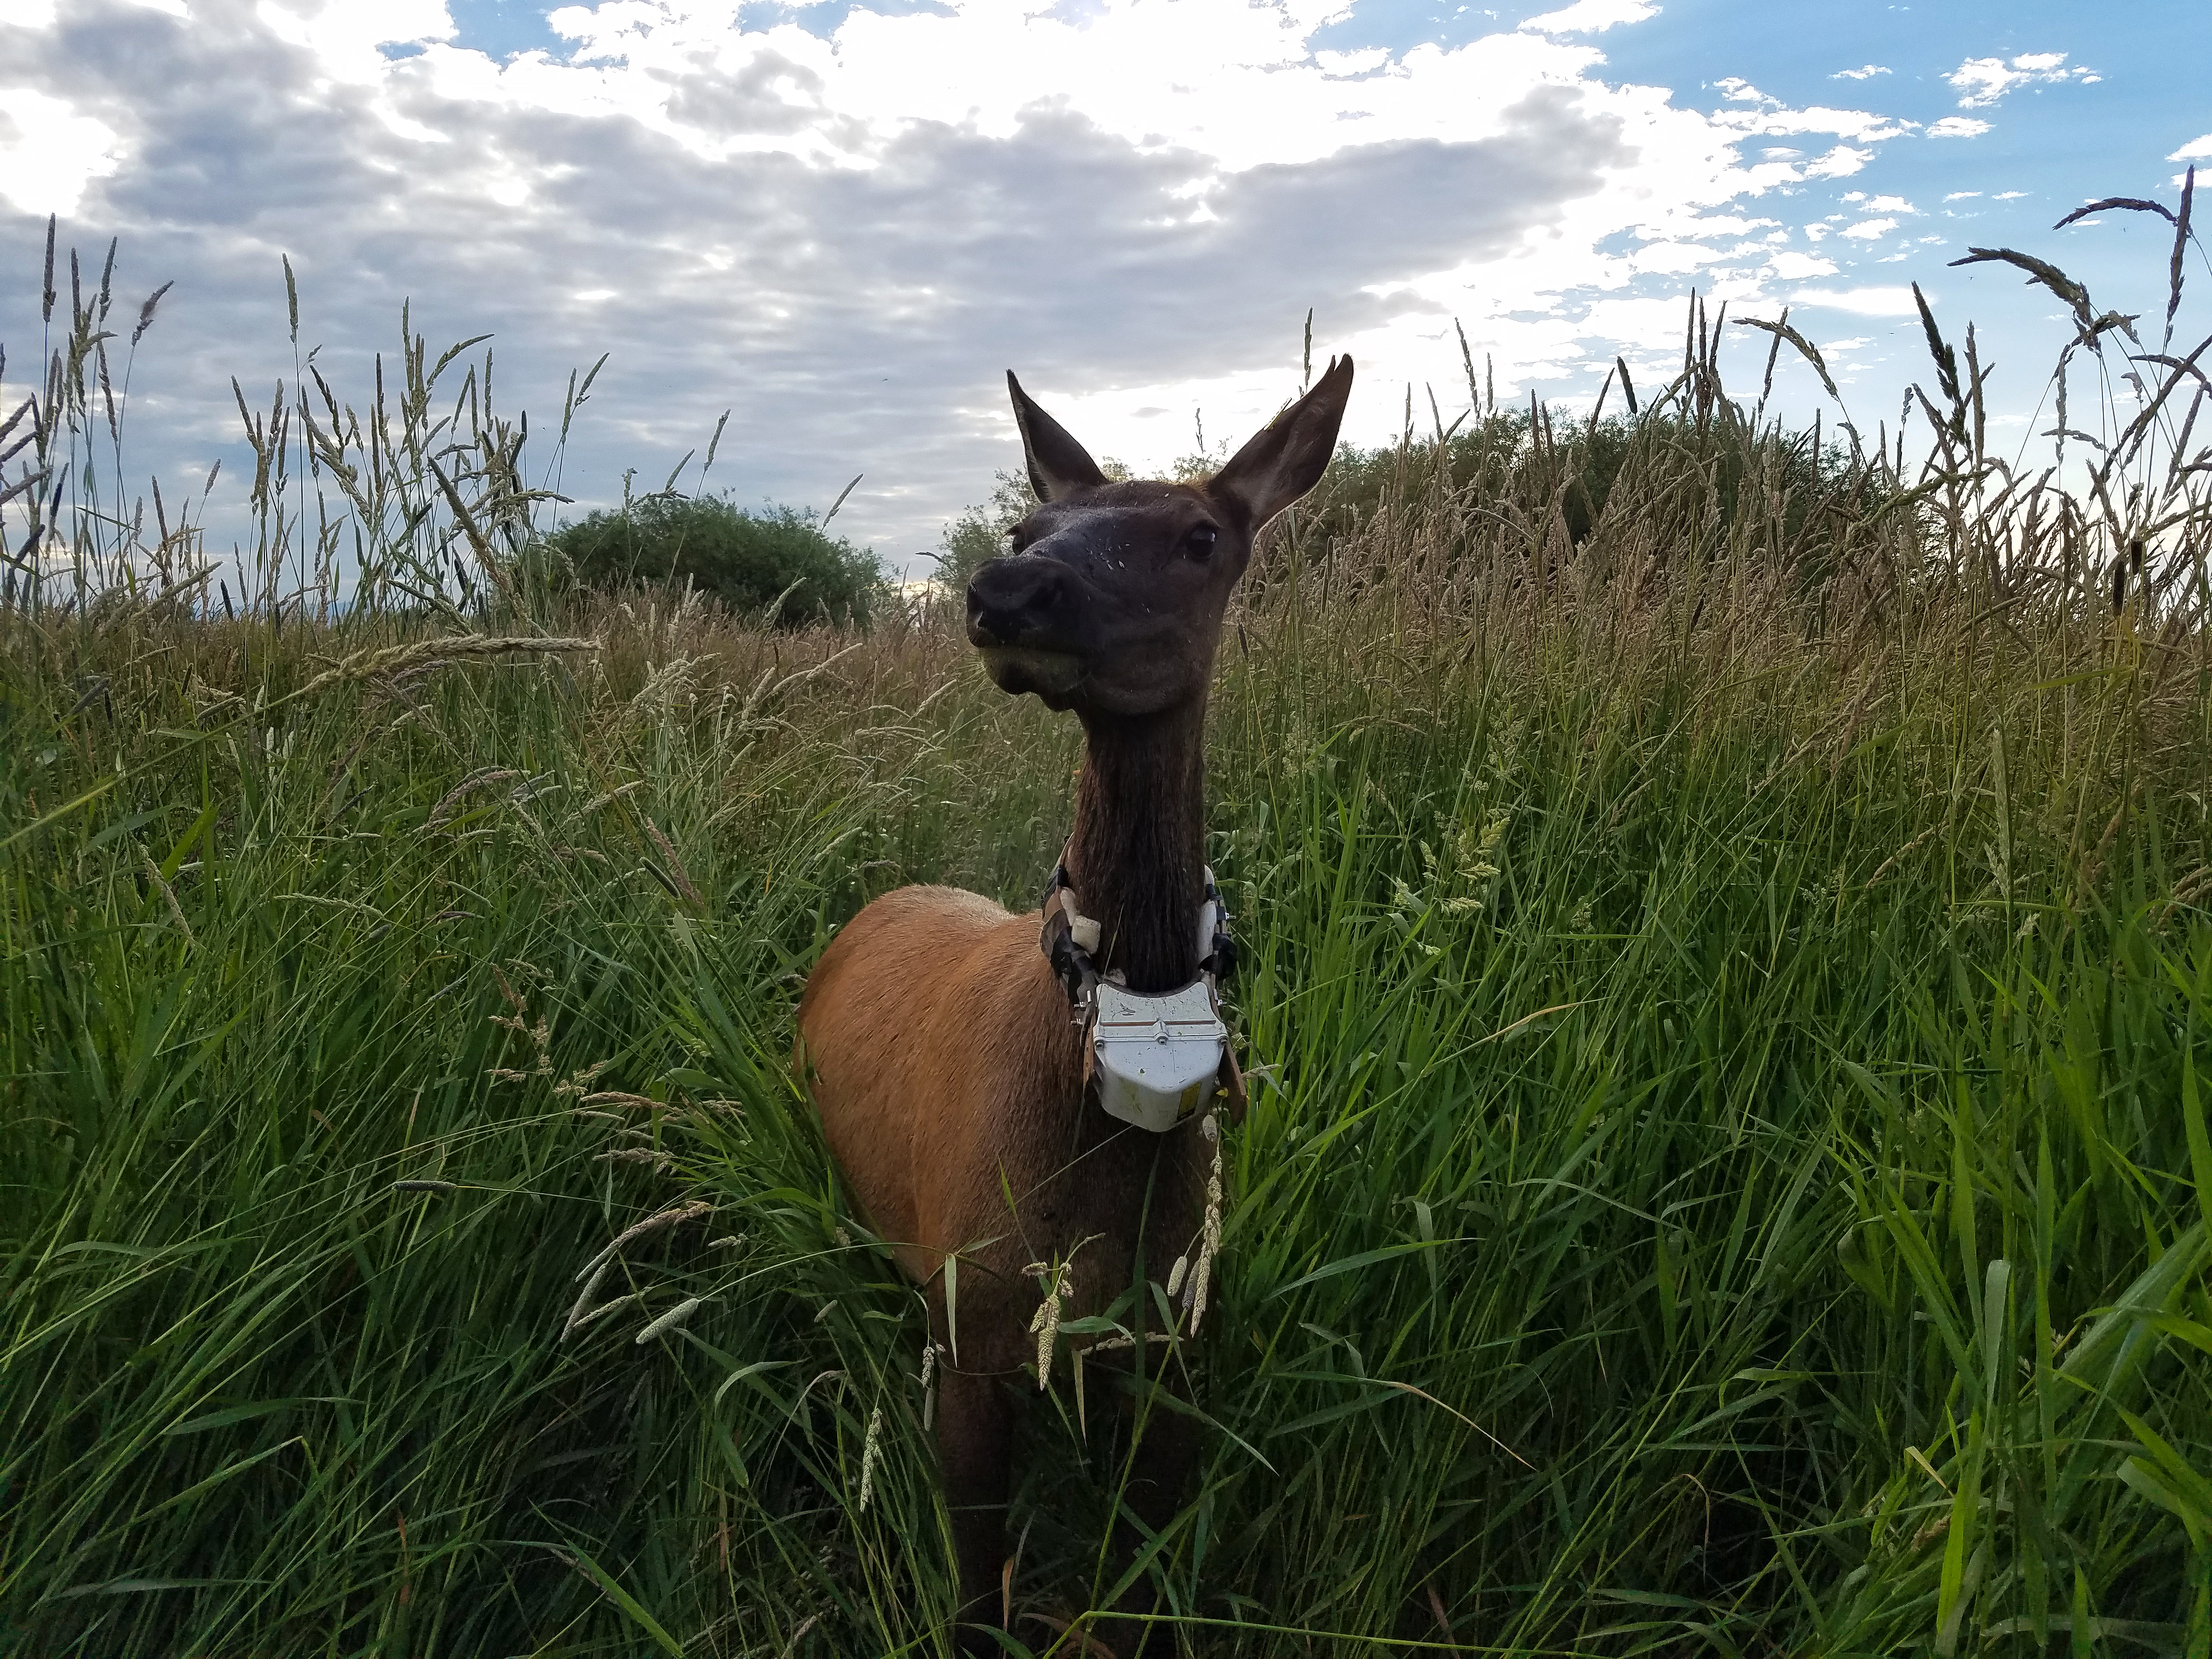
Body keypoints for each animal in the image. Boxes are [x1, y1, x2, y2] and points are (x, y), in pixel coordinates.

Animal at [796, 355, 1354, 1654]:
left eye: (1203, 535)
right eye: (1026, 528)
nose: (1008, 591)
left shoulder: (1172, 1341)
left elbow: (1147, 1578)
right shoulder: (964, 1331)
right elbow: (974, 1593)